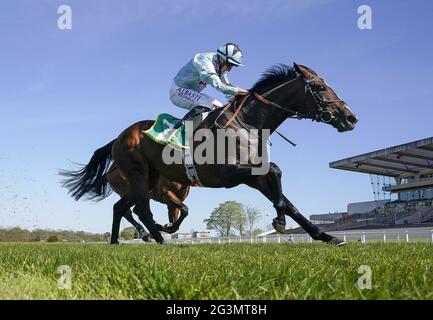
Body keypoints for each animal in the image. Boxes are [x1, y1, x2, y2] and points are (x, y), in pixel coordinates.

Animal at [65, 63, 354, 246]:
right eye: (320, 87)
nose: (350, 117)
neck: (247, 123)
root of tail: (119, 137)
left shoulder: (254, 176)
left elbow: (288, 201)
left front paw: (327, 237)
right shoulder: (228, 175)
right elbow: (276, 171)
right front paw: (280, 219)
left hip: (146, 180)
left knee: (122, 207)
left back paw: (117, 242)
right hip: (138, 175)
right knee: (142, 209)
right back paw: (159, 239)